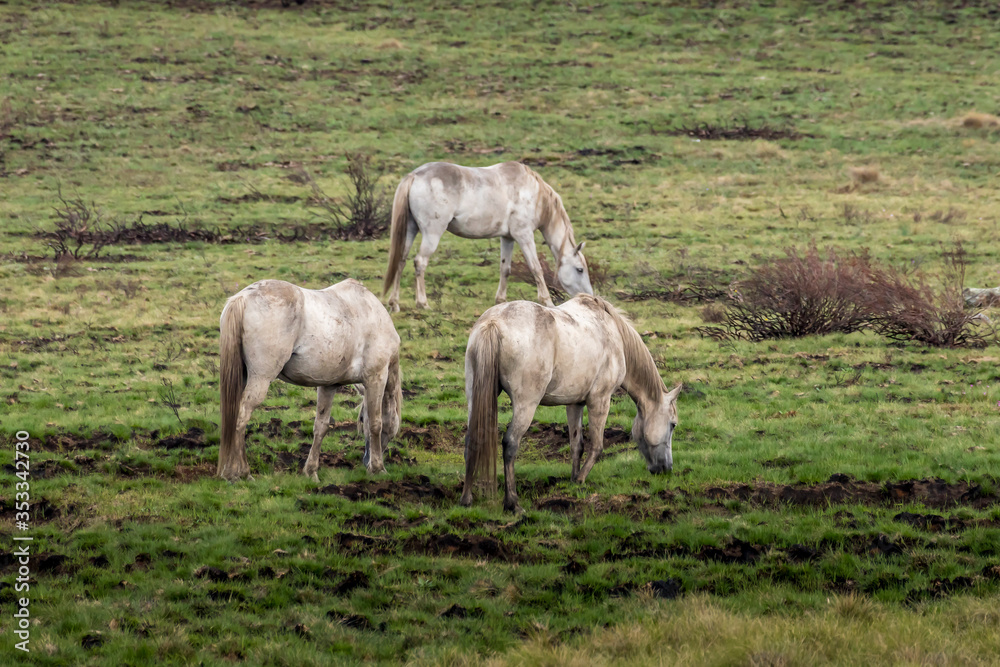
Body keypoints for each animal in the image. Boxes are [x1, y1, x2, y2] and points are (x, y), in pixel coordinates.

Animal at [217, 279, 402, 482]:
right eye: (360, 419)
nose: (366, 460)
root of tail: (243, 296)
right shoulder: (376, 378)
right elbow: (377, 423)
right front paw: (378, 468)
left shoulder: (329, 385)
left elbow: (321, 427)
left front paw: (311, 471)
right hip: (260, 379)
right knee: (241, 417)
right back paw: (240, 472)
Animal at [382, 161, 594, 312]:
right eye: (580, 269)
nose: (590, 297)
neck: (533, 194)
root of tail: (415, 175)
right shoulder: (524, 235)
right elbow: (536, 268)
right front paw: (547, 301)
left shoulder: (507, 238)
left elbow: (505, 269)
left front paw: (500, 300)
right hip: (432, 233)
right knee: (420, 262)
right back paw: (423, 303)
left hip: (410, 230)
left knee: (401, 261)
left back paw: (394, 303)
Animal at [461, 294, 681, 512]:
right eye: (672, 425)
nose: (667, 468)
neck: (613, 331)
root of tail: (494, 322)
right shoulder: (600, 400)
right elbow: (597, 446)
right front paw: (581, 479)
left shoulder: (575, 404)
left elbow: (577, 444)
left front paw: (573, 480)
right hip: (526, 405)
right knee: (510, 443)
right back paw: (512, 503)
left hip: (474, 395)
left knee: (471, 439)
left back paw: (467, 499)